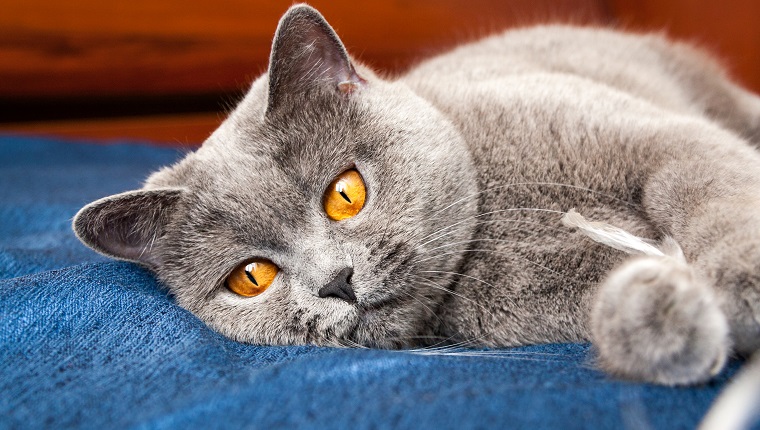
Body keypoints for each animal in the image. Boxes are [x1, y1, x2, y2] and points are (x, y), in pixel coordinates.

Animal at [72, 2, 760, 386]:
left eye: (345, 194)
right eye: (251, 277)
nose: (336, 280)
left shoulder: (655, 137)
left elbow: (708, 187)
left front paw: (744, 283)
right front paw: (667, 320)